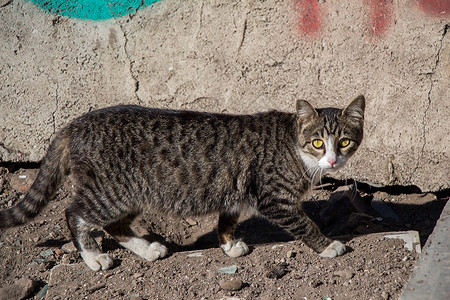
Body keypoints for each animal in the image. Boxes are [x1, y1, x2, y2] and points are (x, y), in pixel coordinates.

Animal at [0, 96, 366, 272]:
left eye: (345, 142)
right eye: (317, 143)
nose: (333, 160)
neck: (293, 146)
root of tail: (75, 123)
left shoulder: (236, 190)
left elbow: (227, 218)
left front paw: (228, 244)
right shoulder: (274, 197)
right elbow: (304, 223)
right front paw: (327, 245)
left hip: (130, 194)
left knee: (115, 225)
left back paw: (147, 249)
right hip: (109, 192)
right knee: (74, 213)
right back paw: (93, 257)